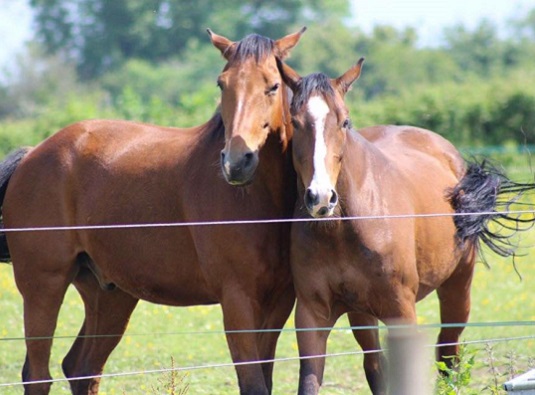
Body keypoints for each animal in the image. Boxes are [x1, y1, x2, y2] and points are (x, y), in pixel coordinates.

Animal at [0, 28, 306, 395]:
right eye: (222, 84)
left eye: (272, 86)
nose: (236, 162)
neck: (256, 202)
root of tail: (32, 156)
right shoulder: (237, 300)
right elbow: (253, 383)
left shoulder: (278, 302)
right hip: (43, 285)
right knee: (38, 375)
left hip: (109, 295)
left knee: (81, 367)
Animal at [276, 58, 535, 392]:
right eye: (295, 123)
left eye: (344, 122)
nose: (320, 197)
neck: (347, 228)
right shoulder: (312, 317)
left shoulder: (401, 312)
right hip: (361, 313)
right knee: (375, 364)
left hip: (457, 287)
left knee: (448, 353)